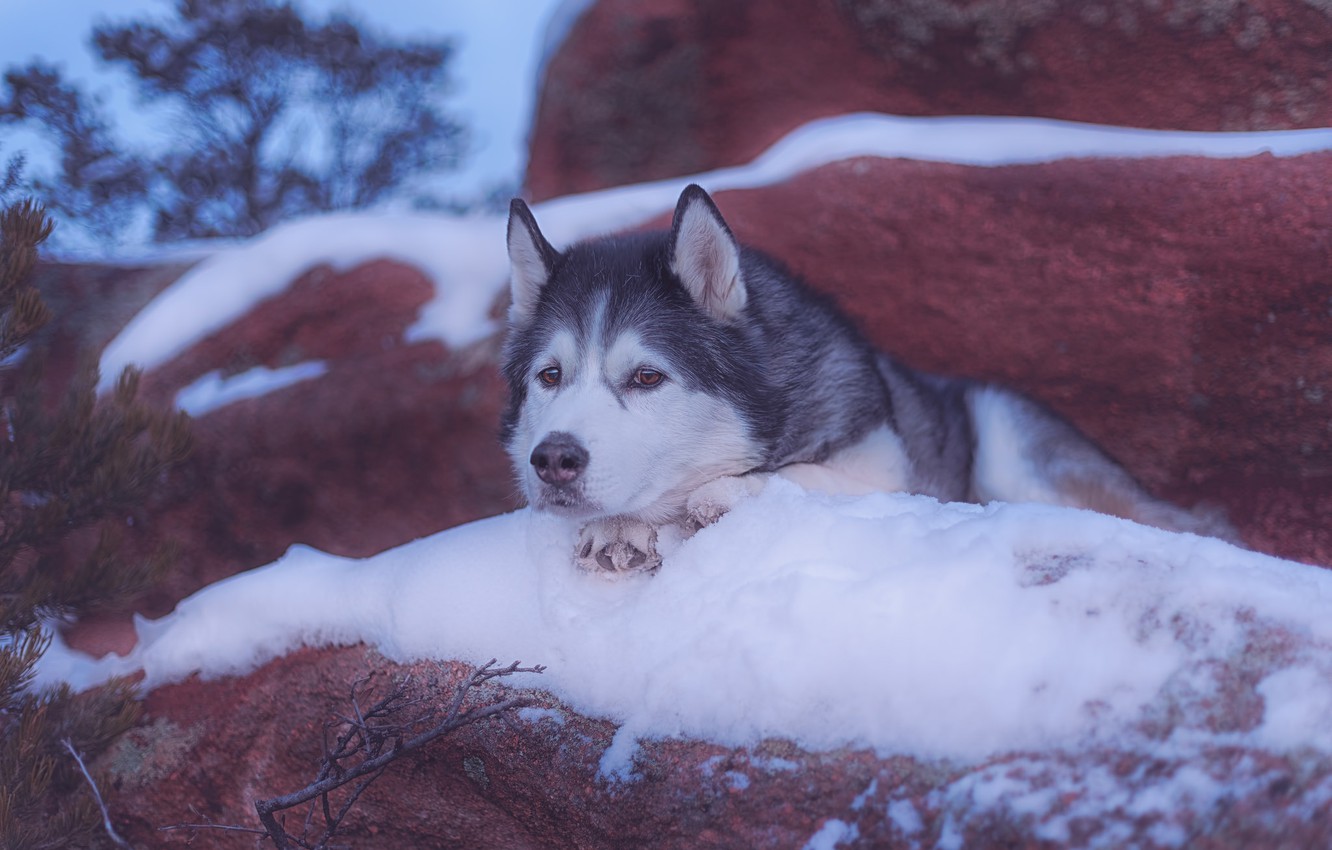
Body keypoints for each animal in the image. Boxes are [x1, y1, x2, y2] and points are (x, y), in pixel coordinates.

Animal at [500, 185, 1236, 572]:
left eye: (647, 376)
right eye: (551, 376)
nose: (554, 459)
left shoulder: (887, 471)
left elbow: (796, 475)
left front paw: (723, 493)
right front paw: (620, 526)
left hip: (1011, 444)